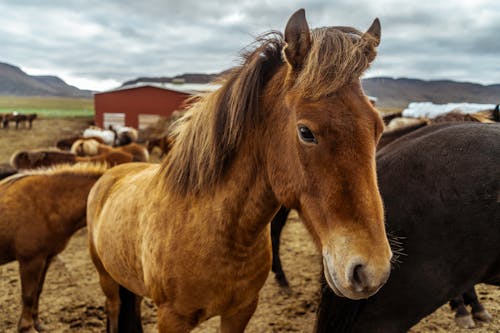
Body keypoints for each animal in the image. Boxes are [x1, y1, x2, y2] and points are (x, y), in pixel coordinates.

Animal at [0, 163, 109, 332]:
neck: (48, 204)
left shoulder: (46, 258)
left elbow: (37, 291)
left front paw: (37, 323)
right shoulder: (30, 261)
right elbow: (28, 294)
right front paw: (26, 327)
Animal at [86, 9, 392, 330]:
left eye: (378, 127)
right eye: (306, 132)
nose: (371, 270)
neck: (219, 233)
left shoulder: (240, 312)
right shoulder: (172, 319)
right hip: (106, 280)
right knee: (113, 309)